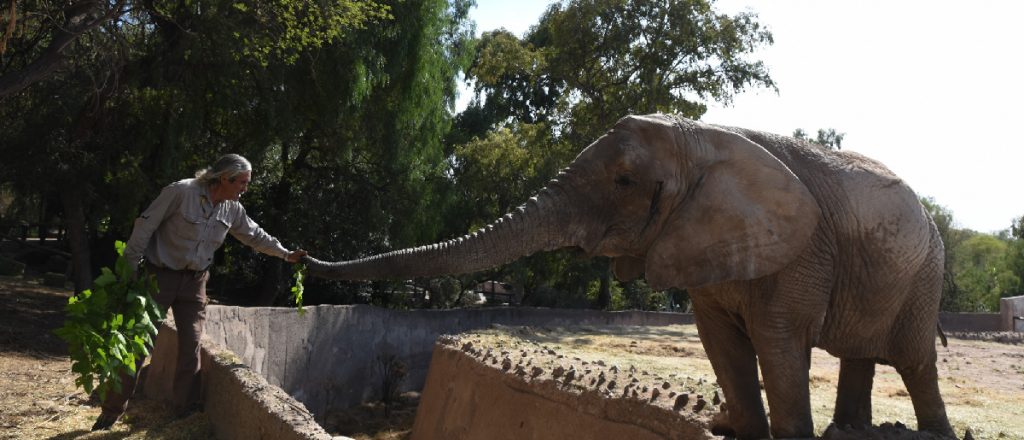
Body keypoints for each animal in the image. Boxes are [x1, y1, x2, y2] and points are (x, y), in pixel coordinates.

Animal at [301, 115, 950, 437]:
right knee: (863, 354)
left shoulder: (801, 249)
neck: (706, 136)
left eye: (623, 181)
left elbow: (778, 341)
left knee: (914, 361)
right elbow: (719, 341)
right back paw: (851, 432)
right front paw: (731, 429)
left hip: (926, 274)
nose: (297, 255)